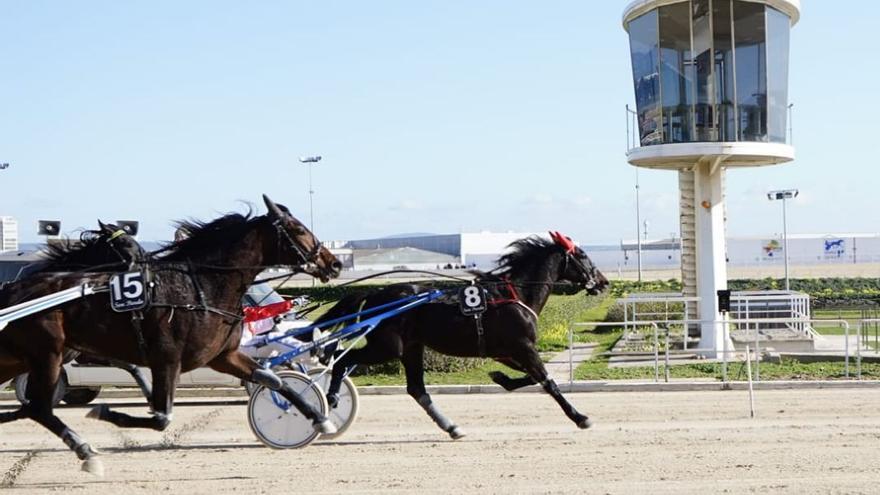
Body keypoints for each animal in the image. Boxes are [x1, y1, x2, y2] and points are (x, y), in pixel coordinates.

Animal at [0, 196, 340, 474]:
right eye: (297, 229)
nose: (333, 263)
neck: (201, 289)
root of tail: (15, 291)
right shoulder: (167, 360)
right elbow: (161, 417)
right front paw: (105, 411)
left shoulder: (223, 356)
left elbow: (274, 380)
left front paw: (319, 417)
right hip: (48, 354)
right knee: (39, 408)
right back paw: (86, 451)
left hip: (24, 358)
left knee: (33, 407)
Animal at [312, 234, 608, 440]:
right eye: (582, 255)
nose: (604, 281)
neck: (516, 293)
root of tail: (376, 294)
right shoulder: (523, 347)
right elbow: (548, 382)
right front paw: (580, 417)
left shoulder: (506, 351)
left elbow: (532, 378)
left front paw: (500, 378)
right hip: (389, 347)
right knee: (341, 360)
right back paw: (331, 398)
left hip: (411, 347)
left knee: (416, 389)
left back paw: (452, 427)